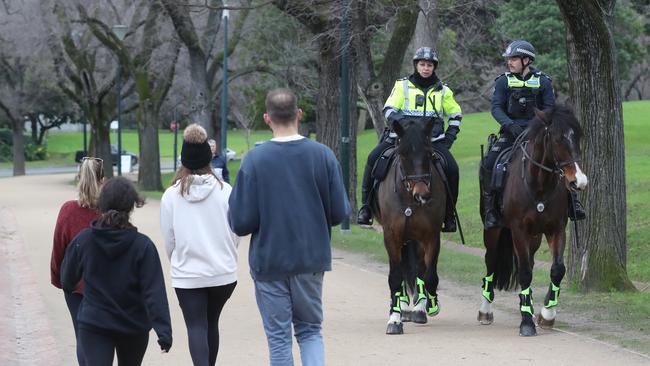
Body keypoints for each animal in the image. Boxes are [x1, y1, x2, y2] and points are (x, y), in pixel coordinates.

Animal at [372, 117, 448, 334]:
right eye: (402, 154)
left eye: (428, 153)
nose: (422, 195)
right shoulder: (391, 236)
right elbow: (395, 277)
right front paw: (394, 319)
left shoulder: (431, 236)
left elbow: (428, 275)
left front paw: (428, 305)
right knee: (404, 270)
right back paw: (403, 307)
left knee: (418, 268)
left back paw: (417, 308)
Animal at [476, 104, 588, 336]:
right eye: (557, 139)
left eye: (578, 137)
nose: (579, 181)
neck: (539, 184)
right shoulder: (518, 230)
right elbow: (525, 273)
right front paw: (527, 321)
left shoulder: (557, 229)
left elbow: (557, 270)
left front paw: (547, 314)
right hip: (493, 232)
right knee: (491, 263)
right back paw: (485, 311)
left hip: (534, 237)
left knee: (530, 261)